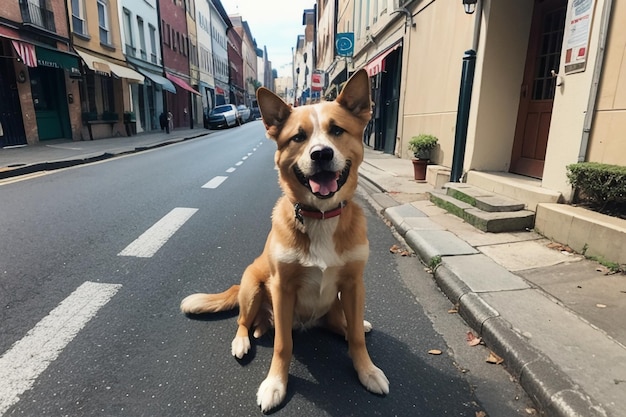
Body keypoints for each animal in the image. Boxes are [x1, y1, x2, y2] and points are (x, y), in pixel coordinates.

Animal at [178, 70, 388, 412]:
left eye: (337, 130)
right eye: (298, 137)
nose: (321, 154)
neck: (320, 217)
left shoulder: (355, 284)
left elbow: (356, 337)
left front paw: (367, 370)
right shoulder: (282, 288)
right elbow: (282, 344)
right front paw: (275, 383)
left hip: (336, 300)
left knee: (343, 324)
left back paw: (350, 326)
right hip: (252, 286)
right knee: (244, 321)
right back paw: (244, 338)